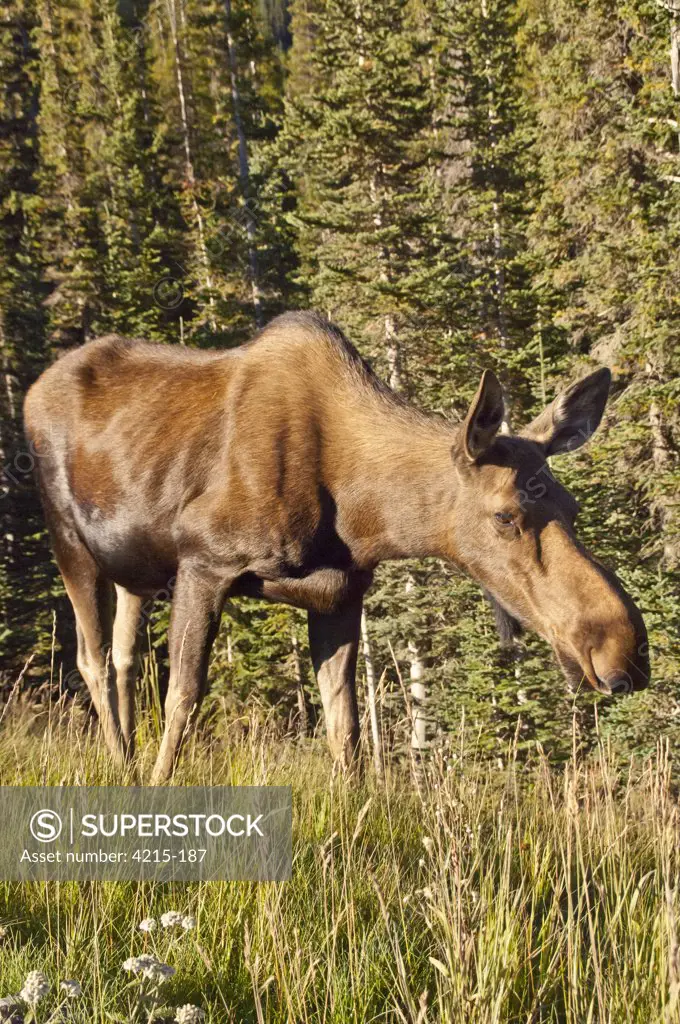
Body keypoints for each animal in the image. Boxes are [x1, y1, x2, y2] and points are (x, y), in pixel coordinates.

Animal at [22, 307, 647, 778]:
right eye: (505, 515)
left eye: (572, 507)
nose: (623, 649)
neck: (362, 516)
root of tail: (31, 391)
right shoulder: (205, 562)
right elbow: (184, 696)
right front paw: (159, 788)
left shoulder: (340, 594)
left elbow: (345, 727)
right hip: (69, 542)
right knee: (93, 660)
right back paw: (123, 765)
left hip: (136, 571)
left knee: (123, 657)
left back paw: (125, 762)